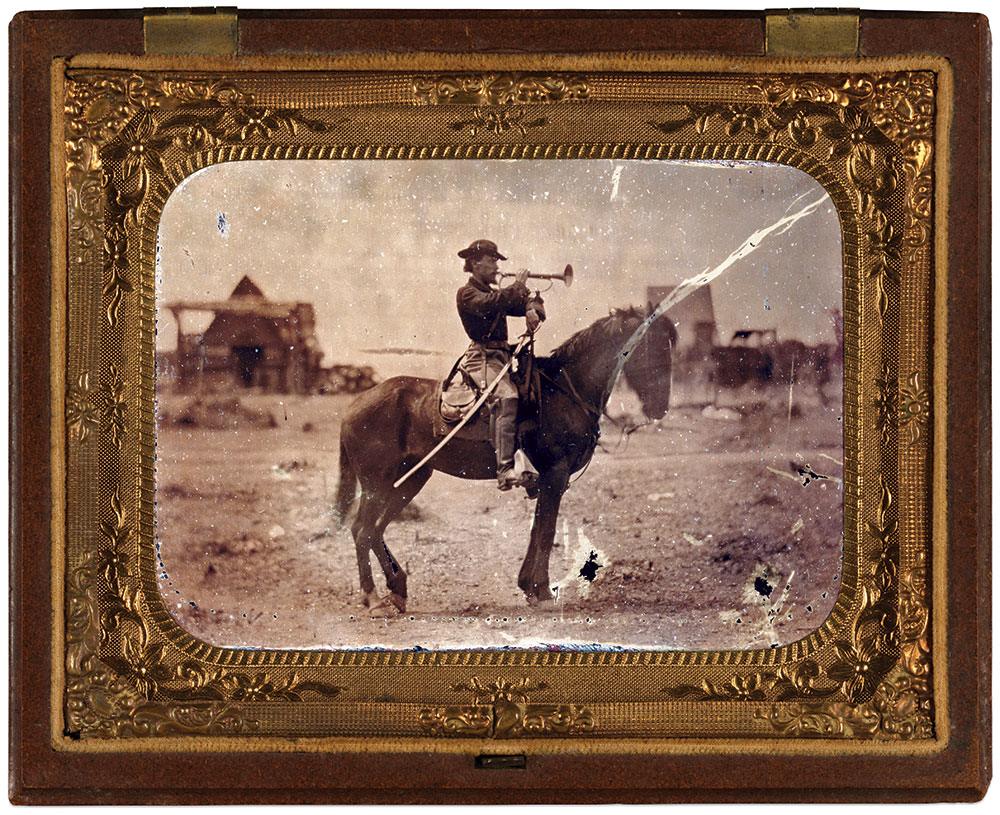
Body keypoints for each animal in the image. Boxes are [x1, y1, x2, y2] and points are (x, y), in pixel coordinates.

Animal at [332, 306, 676, 612]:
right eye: (654, 349)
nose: (660, 407)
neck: (563, 391)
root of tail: (353, 407)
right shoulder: (555, 473)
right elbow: (547, 531)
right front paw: (541, 590)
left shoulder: (550, 479)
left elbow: (538, 529)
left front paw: (529, 586)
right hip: (377, 484)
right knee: (363, 531)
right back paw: (374, 599)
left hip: (409, 480)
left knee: (374, 530)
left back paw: (397, 588)